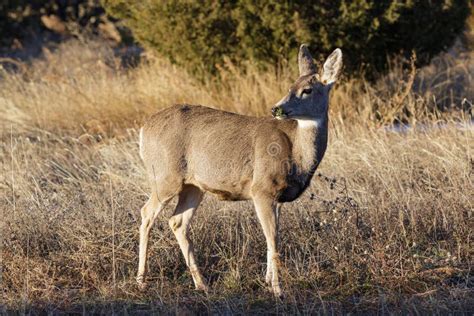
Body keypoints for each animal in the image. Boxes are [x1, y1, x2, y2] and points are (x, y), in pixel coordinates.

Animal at [135, 44, 342, 296]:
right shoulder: (261, 188)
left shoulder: (277, 197)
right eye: (290, 87)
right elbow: (272, 239)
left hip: (193, 185)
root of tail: (144, 129)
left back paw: (201, 283)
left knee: (178, 222)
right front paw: (277, 289)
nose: (277, 108)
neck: (296, 153)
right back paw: (141, 280)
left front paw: (267, 281)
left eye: (307, 90)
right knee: (147, 213)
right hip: (165, 177)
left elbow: (273, 237)